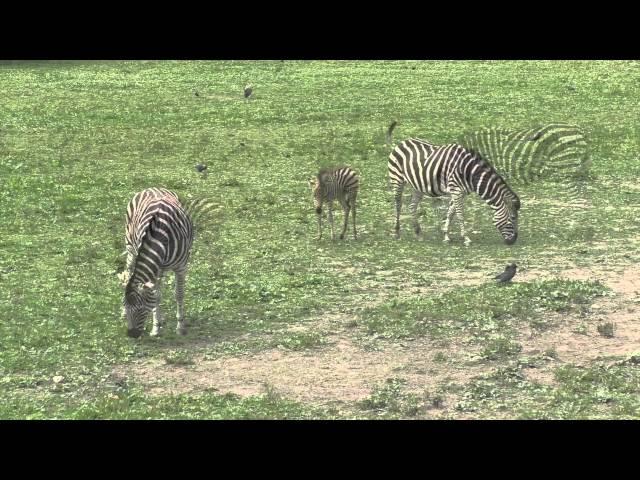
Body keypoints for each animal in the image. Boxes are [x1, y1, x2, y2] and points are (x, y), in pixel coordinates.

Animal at [388, 139, 524, 244]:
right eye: (513, 218)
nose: (513, 241)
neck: (470, 173)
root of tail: (402, 142)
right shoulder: (456, 191)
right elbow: (460, 215)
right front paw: (466, 238)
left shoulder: (460, 193)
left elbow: (451, 213)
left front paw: (446, 235)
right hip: (397, 180)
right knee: (398, 204)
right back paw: (396, 232)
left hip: (418, 186)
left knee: (412, 206)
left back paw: (418, 233)